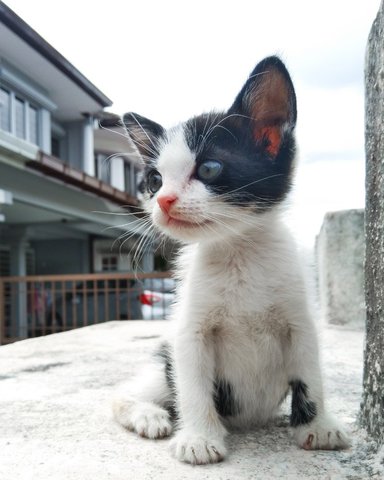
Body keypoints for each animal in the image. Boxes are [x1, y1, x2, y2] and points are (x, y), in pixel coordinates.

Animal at [112, 56, 350, 464]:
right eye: (155, 180)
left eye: (209, 168)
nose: (164, 201)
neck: (238, 252)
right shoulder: (188, 331)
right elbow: (193, 385)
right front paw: (199, 437)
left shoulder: (301, 319)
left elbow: (310, 373)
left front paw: (317, 426)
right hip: (163, 361)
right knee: (125, 394)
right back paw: (149, 415)